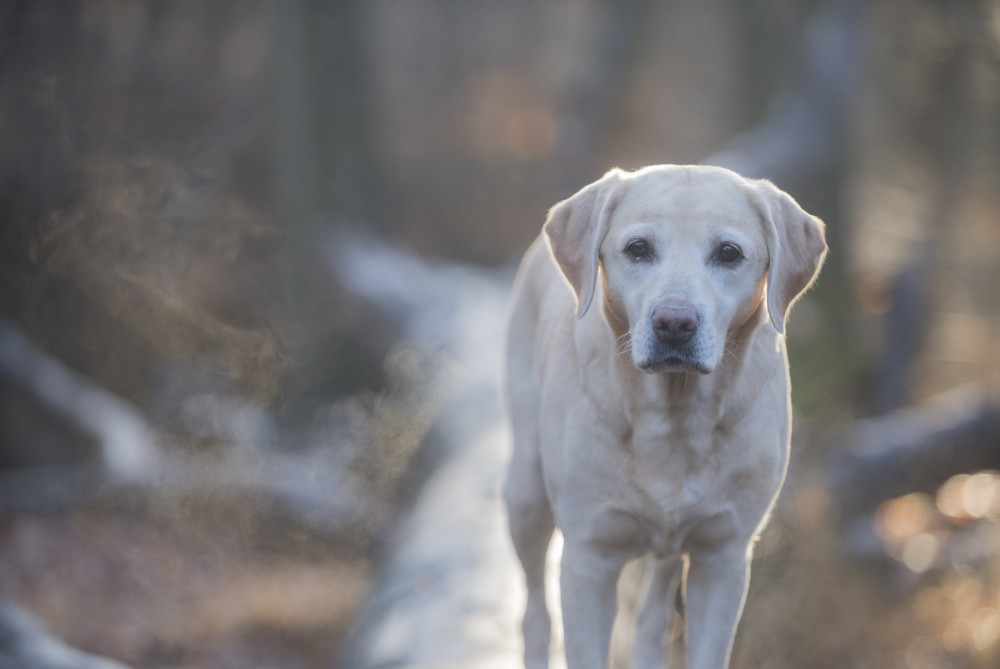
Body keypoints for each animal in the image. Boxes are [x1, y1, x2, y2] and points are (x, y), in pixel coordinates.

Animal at [504, 166, 824, 668]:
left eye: (729, 253)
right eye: (638, 248)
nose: (675, 323)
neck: (675, 418)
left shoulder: (723, 557)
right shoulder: (588, 557)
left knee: (649, 620)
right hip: (526, 493)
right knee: (535, 614)